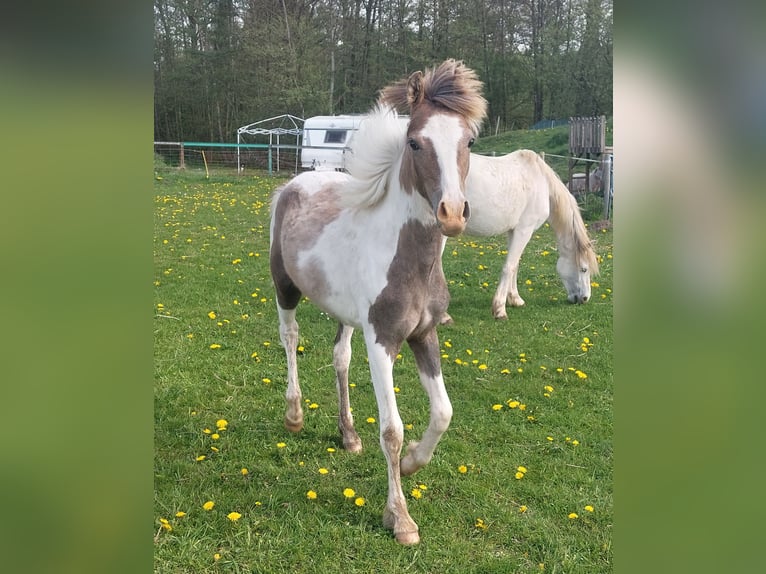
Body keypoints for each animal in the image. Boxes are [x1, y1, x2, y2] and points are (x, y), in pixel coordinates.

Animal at [269, 59, 487, 545]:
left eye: (469, 141)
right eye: (415, 141)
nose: (452, 213)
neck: (409, 261)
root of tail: (298, 181)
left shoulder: (423, 334)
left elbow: (443, 412)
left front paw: (412, 464)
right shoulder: (383, 341)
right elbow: (392, 429)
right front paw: (400, 518)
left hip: (348, 316)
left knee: (340, 357)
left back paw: (348, 435)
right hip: (284, 287)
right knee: (290, 337)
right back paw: (294, 415)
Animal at [459, 150, 599, 320]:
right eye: (584, 269)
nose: (585, 298)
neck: (542, 182)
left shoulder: (513, 231)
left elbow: (515, 265)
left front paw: (515, 299)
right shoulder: (524, 230)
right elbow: (509, 266)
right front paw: (499, 309)